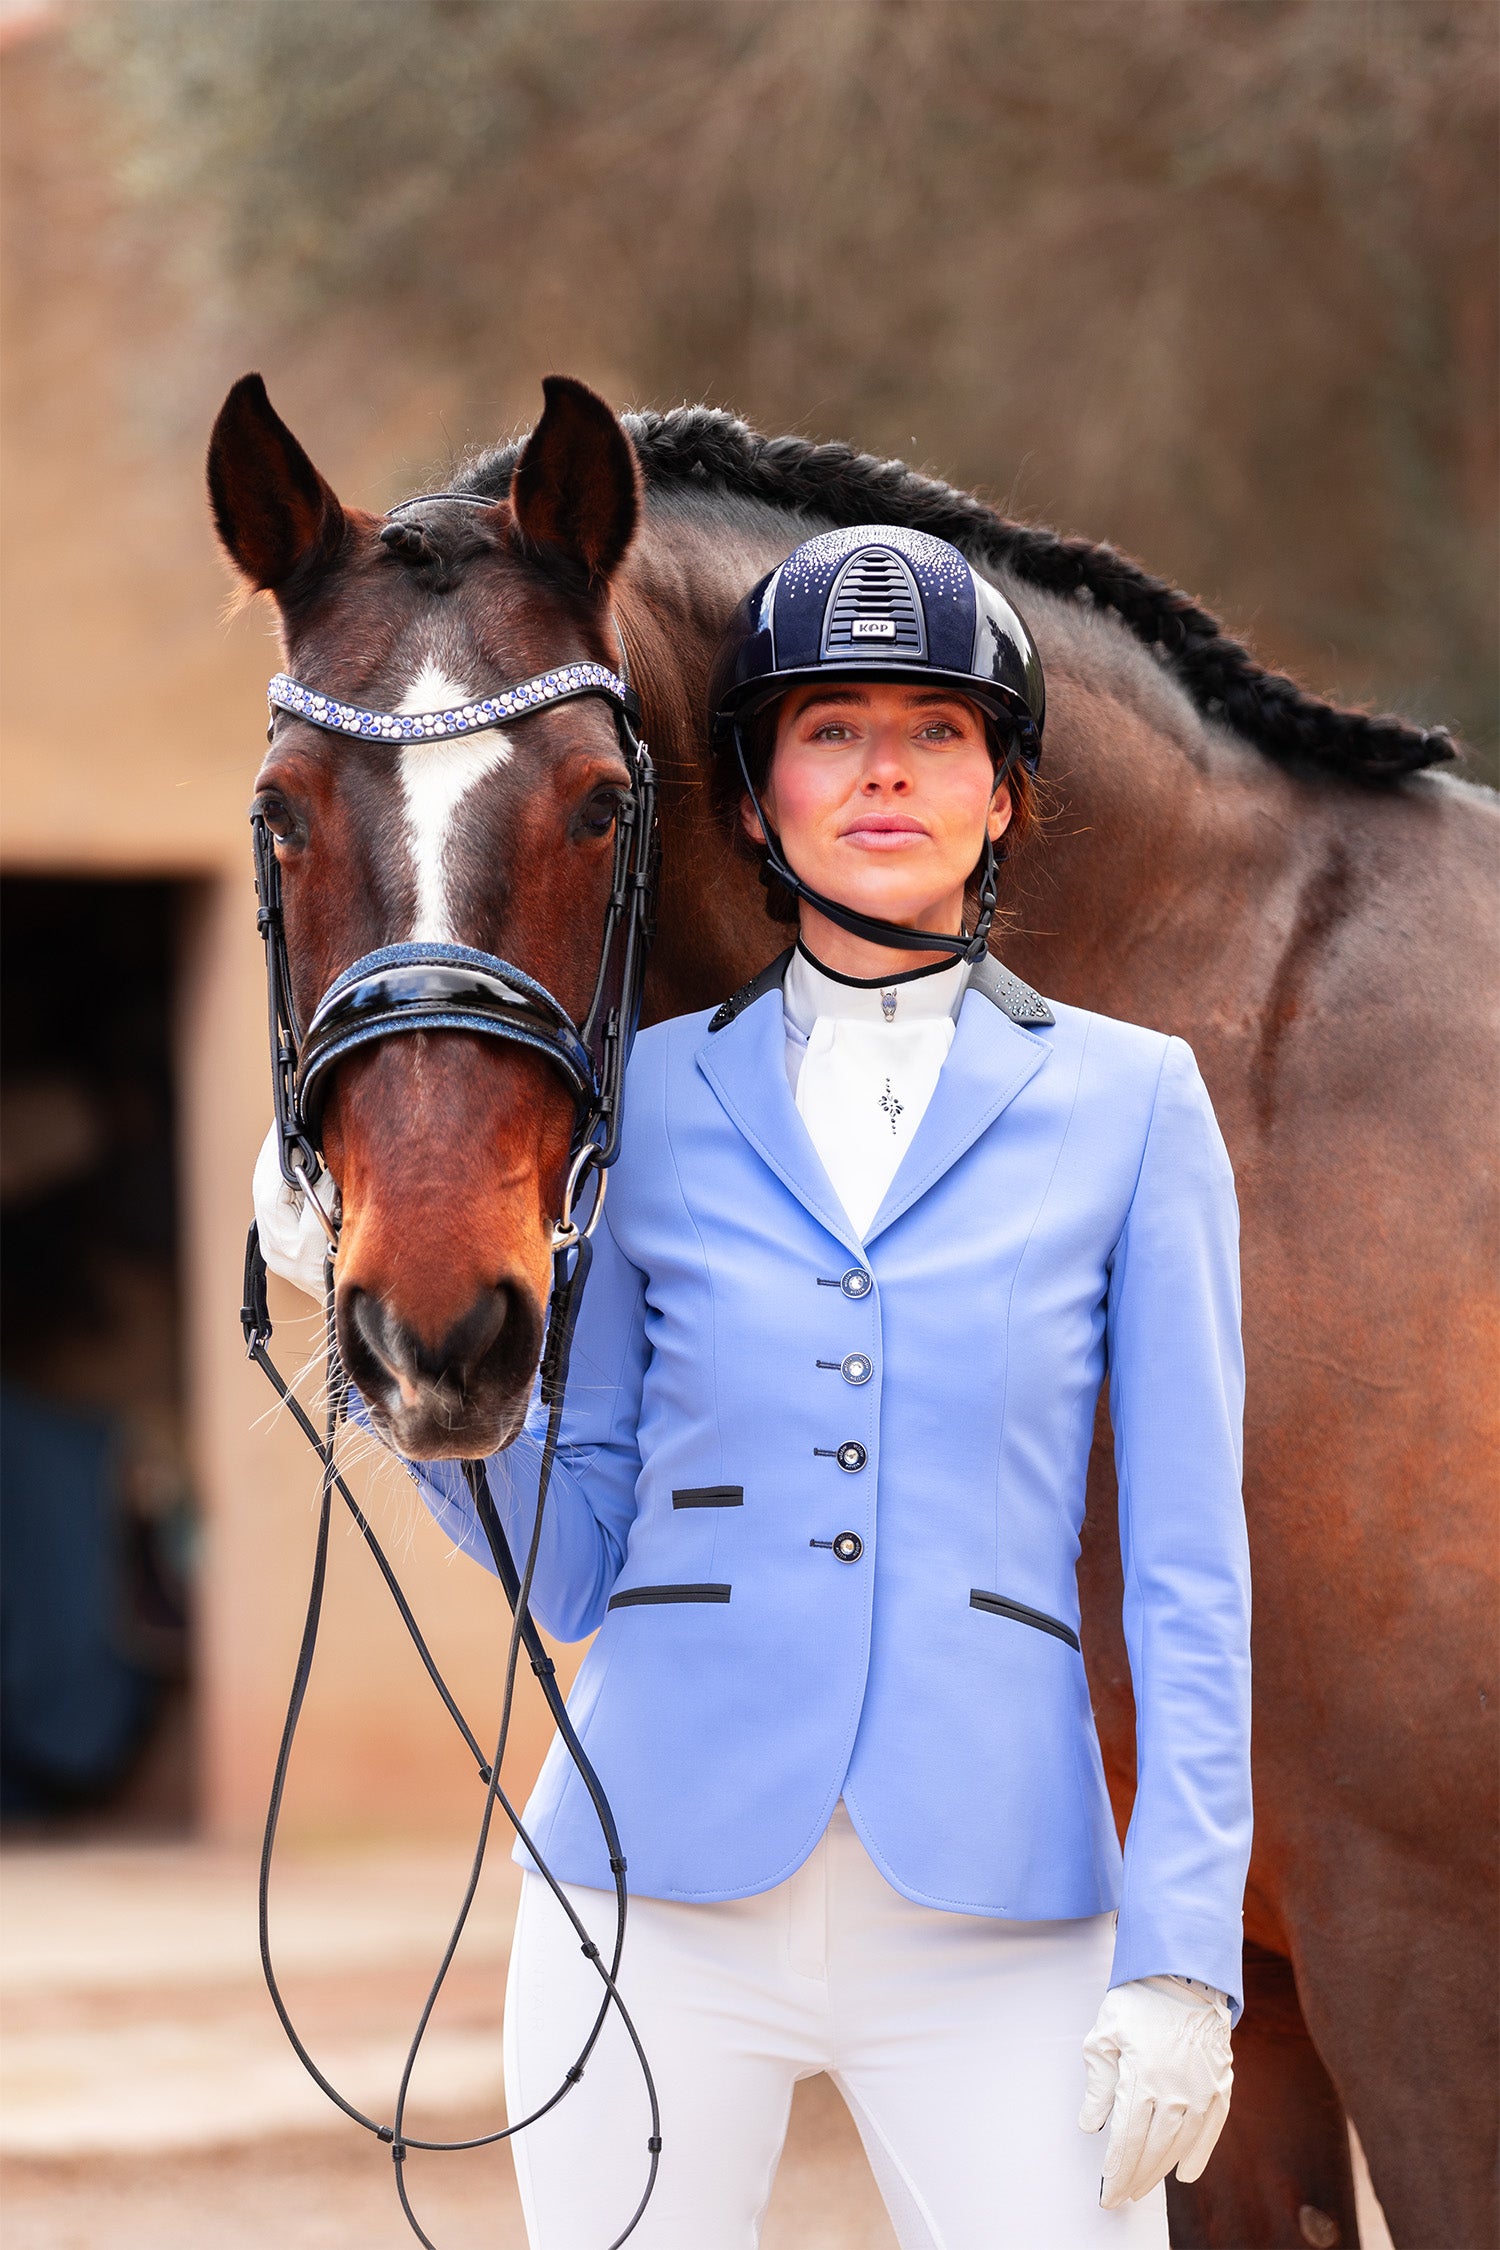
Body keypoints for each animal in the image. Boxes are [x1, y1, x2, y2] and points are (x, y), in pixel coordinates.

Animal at [208, 370, 1498, 2250]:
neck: (1263, 1053)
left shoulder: (1419, 1961)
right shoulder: (1222, 1982)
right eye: (283, 809)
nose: (433, 1332)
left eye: (598, 804)